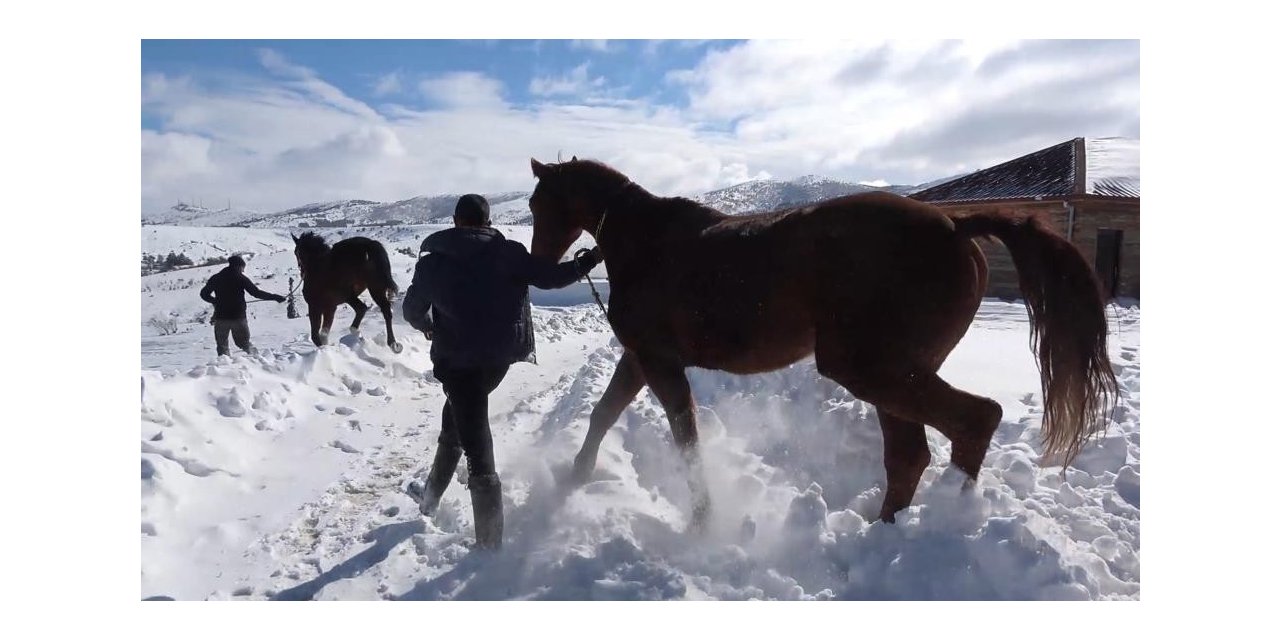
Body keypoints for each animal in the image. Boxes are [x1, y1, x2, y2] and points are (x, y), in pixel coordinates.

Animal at [524, 157, 1116, 527]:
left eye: (537, 205)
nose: (538, 266)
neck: (648, 244)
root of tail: (956, 228)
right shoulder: (641, 358)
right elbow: (604, 413)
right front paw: (575, 476)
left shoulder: (658, 362)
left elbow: (685, 439)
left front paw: (702, 520)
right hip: (896, 371)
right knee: (911, 455)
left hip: (870, 368)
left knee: (973, 420)